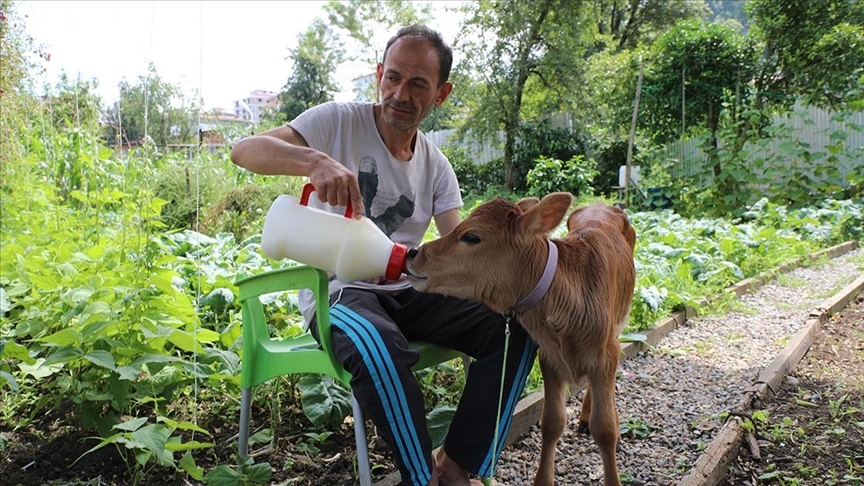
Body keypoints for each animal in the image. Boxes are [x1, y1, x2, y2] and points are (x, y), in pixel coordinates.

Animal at [404, 194, 636, 486]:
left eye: (471, 237)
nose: (413, 253)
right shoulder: (549, 357)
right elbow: (551, 422)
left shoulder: (606, 353)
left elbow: (605, 428)